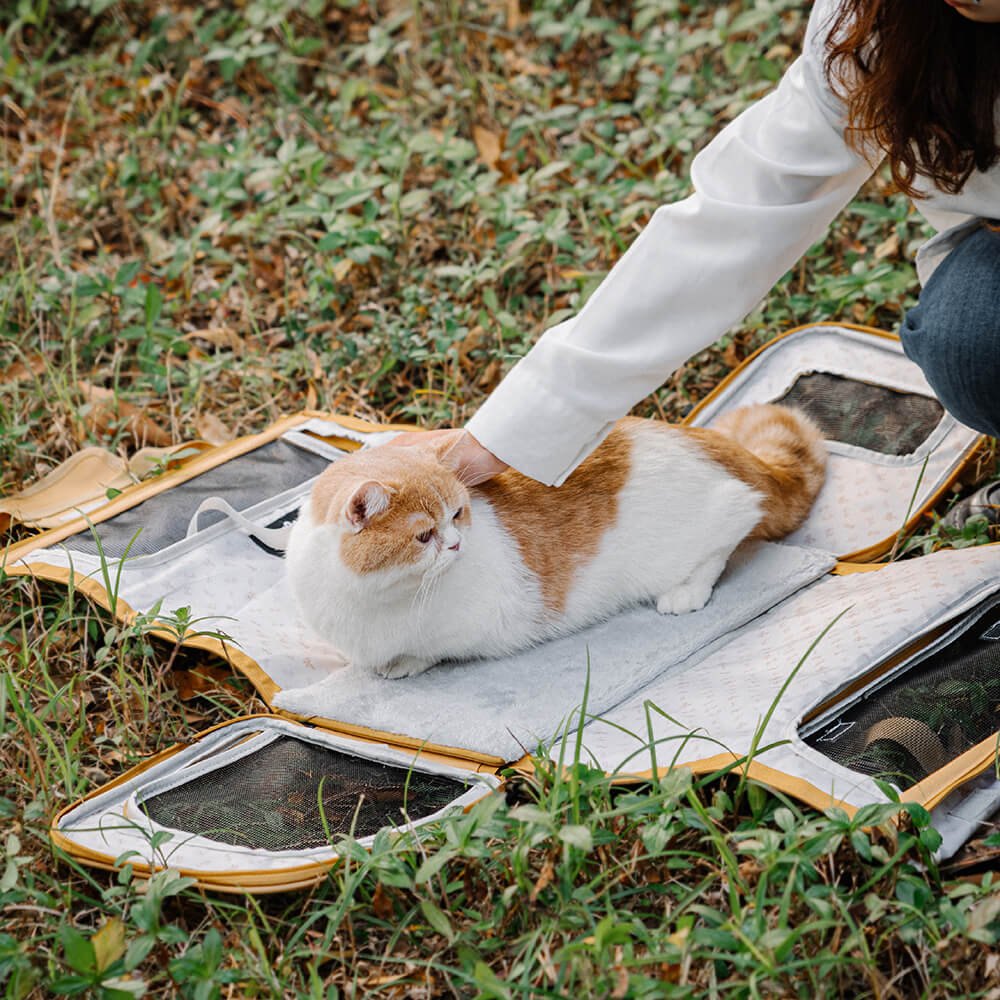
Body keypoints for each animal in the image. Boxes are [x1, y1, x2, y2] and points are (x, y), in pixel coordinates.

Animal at [284, 406, 828, 680]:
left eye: (458, 514)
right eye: (424, 535)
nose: (457, 545)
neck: (367, 596)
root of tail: (706, 440)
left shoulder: (481, 624)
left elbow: (434, 650)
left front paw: (406, 664)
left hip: (707, 520)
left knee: (733, 527)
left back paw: (686, 590)